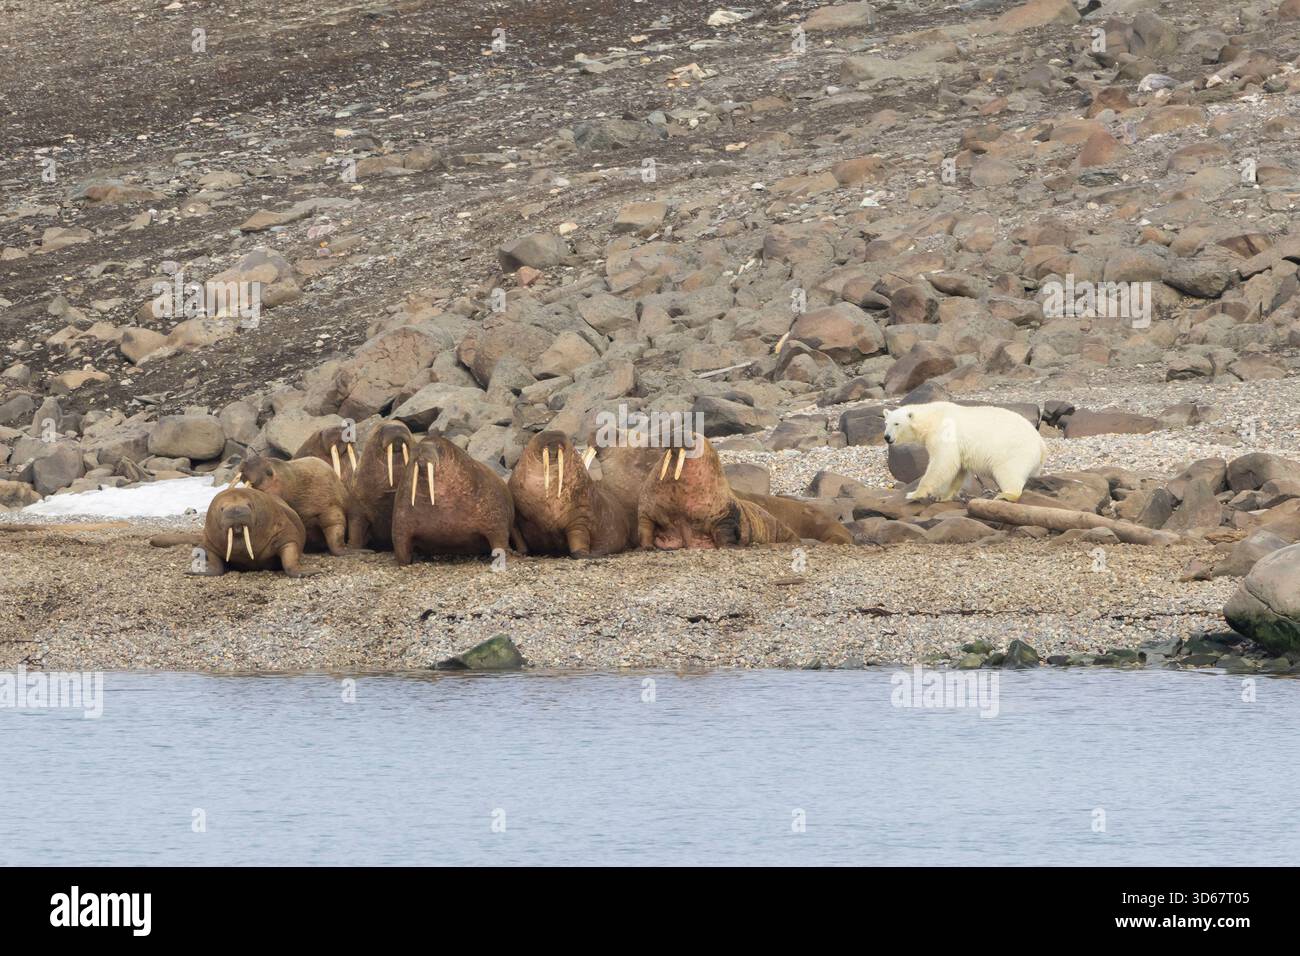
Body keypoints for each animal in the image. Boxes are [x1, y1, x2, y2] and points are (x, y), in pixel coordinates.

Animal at [882, 402, 1046, 503]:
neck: (932, 418)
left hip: (1014, 450)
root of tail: (1041, 443)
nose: (887, 437)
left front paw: (914, 494)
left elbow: (943, 463)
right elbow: (958, 469)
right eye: (886, 423)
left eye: (897, 423)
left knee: (1008, 472)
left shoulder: (945, 433)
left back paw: (1005, 495)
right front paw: (943, 496)